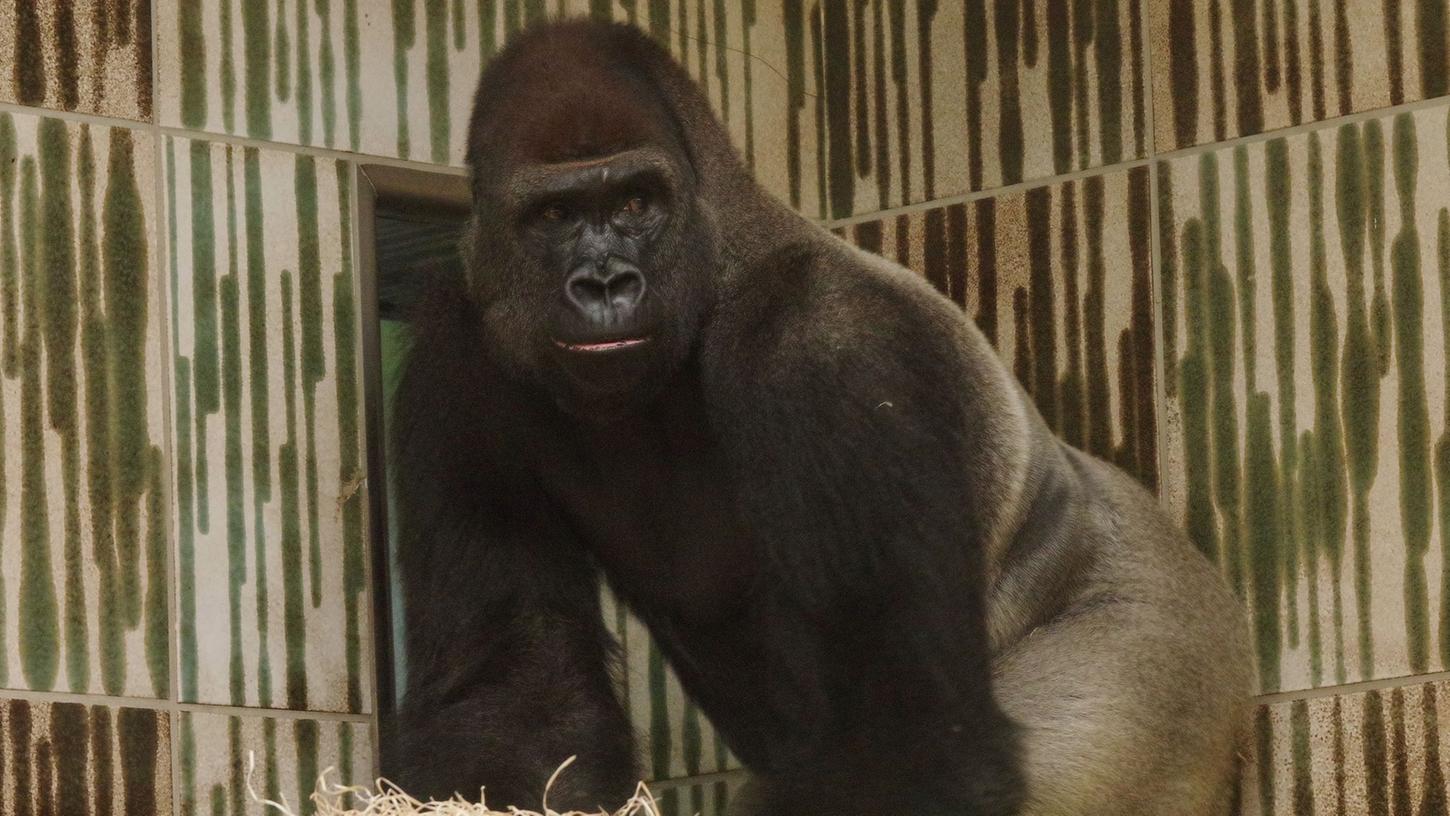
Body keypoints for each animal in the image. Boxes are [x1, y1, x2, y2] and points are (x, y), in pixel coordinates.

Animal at [388, 19, 1258, 816]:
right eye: (555, 215)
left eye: (635, 202)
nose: (606, 283)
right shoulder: (456, 352)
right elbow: (520, 681)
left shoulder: (827, 342)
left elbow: (905, 735)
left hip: (1148, 667)